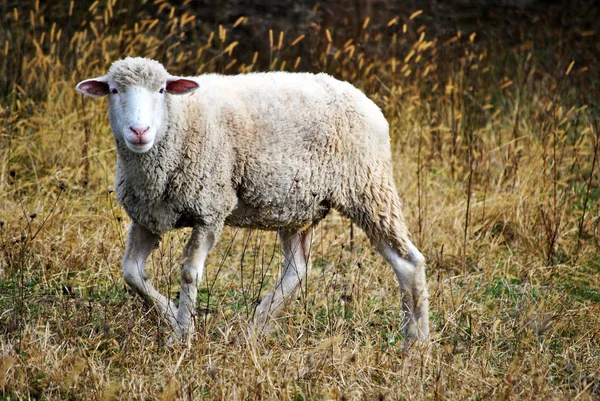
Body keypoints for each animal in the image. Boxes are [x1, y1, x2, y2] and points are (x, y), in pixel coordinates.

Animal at [76, 57, 432, 346]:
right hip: (298, 204)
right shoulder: (147, 216)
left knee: (408, 263)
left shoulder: (211, 209)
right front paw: (168, 314)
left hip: (368, 186)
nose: (139, 131)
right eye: (113, 90)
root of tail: (365, 100)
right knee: (297, 268)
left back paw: (416, 342)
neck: (179, 122)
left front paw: (183, 334)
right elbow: (131, 273)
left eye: (162, 90)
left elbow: (190, 274)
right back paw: (257, 325)